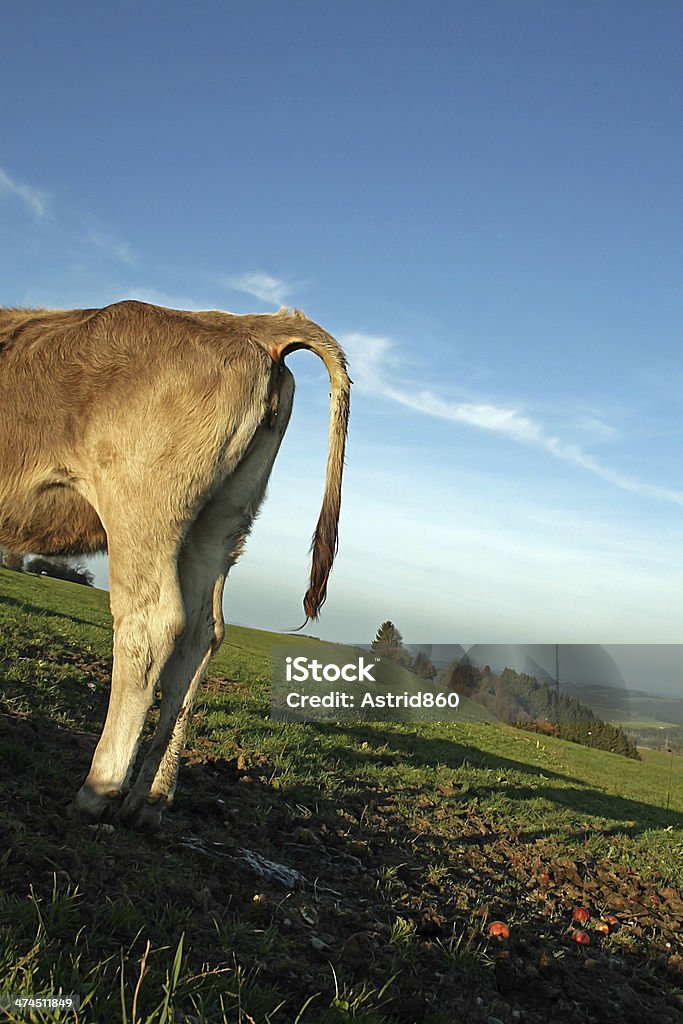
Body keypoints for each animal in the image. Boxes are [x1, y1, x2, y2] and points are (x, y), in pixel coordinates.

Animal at [0, 299, 350, 827]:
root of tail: (245, 323)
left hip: (141, 506)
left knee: (151, 624)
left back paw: (97, 790)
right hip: (221, 523)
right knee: (203, 634)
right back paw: (149, 799)